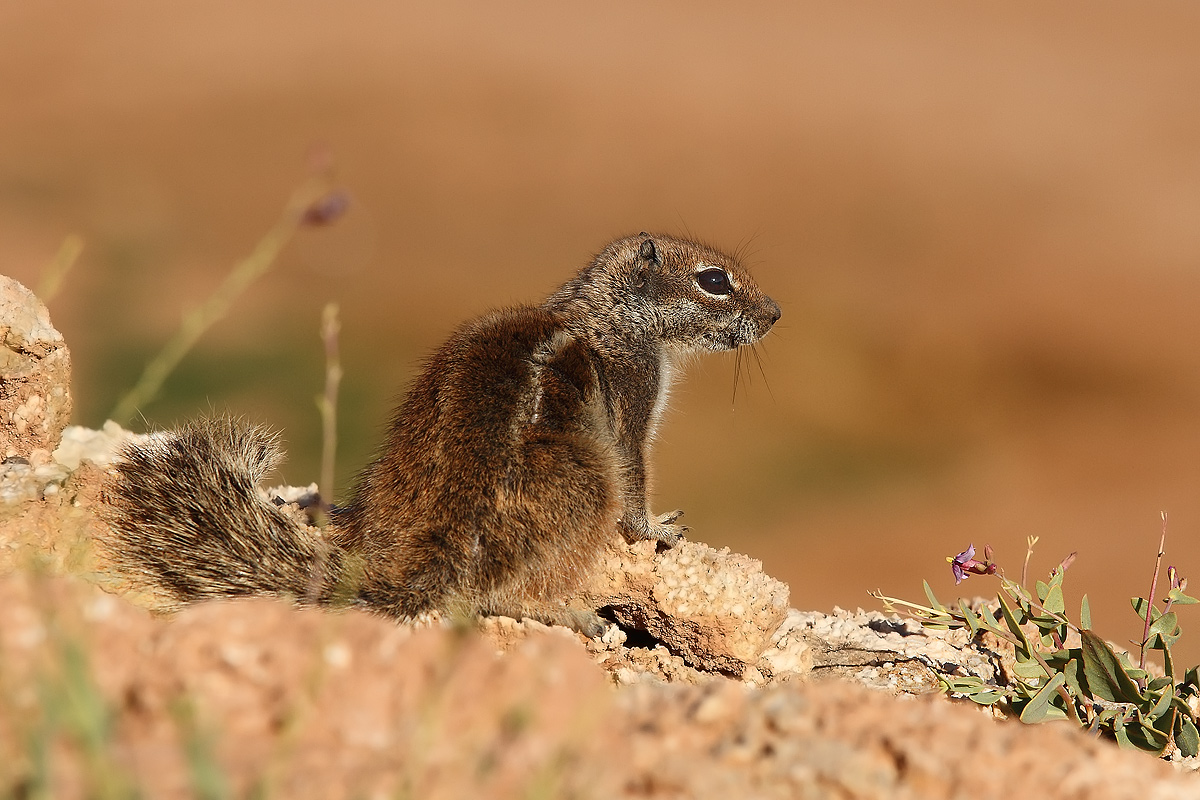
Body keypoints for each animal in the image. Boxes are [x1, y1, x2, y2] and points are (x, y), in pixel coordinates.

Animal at [100, 231, 777, 638]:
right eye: (714, 280)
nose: (775, 313)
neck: (608, 313)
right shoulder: (633, 399)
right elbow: (636, 479)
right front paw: (658, 528)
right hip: (585, 489)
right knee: (496, 596)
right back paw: (575, 614)